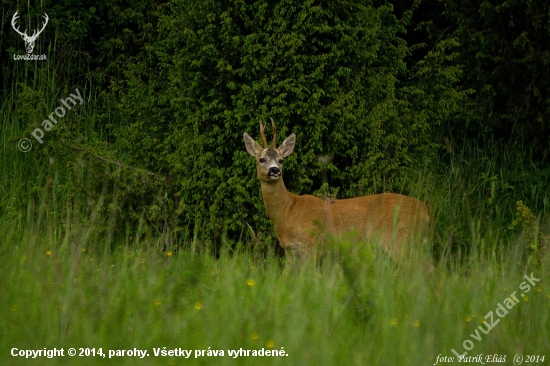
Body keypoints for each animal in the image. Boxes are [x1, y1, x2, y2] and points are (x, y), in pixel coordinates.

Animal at [245, 119, 432, 264]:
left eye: (281, 160)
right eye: (261, 159)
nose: (275, 170)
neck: (288, 211)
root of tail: (425, 212)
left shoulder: (312, 244)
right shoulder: (291, 251)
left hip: (401, 239)